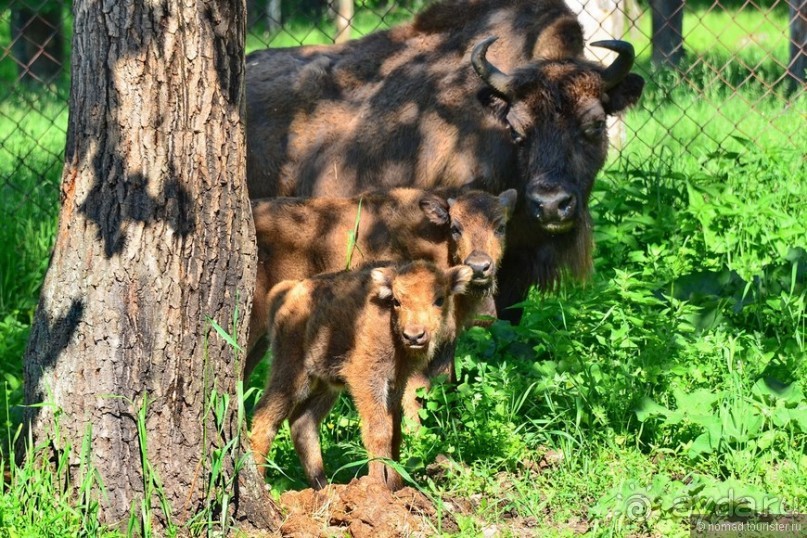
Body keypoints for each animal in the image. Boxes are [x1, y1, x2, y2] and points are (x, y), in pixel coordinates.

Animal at [249, 260, 470, 490]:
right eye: (396, 301)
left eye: (439, 299)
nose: (414, 335)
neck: (390, 328)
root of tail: (287, 291)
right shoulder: (366, 379)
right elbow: (378, 431)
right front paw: (378, 484)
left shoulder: (396, 383)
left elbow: (395, 433)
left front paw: (396, 485)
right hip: (292, 372)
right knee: (265, 416)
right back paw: (262, 479)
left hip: (325, 385)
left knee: (303, 423)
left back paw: (323, 486)